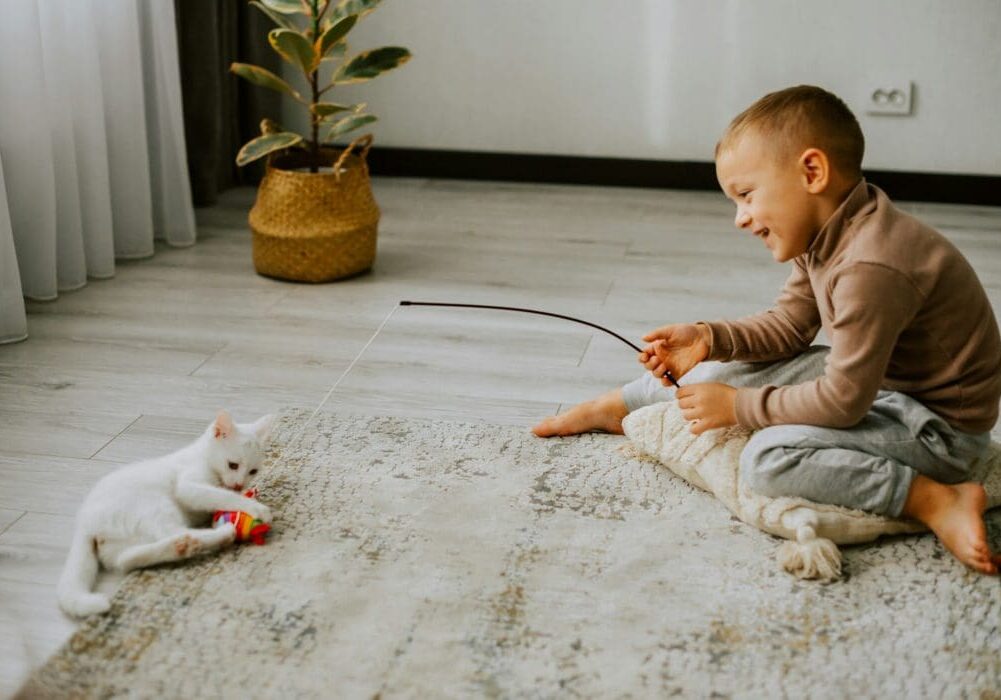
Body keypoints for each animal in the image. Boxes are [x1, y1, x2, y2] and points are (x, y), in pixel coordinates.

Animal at [60, 410, 276, 616]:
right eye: (233, 465)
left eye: (253, 472)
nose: (239, 484)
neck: (204, 456)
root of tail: (84, 522)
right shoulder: (188, 485)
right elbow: (221, 495)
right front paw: (256, 508)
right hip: (154, 505)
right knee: (171, 531)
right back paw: (219, 535)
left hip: (121, 543)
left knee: (127, 559)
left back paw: (183, 547)